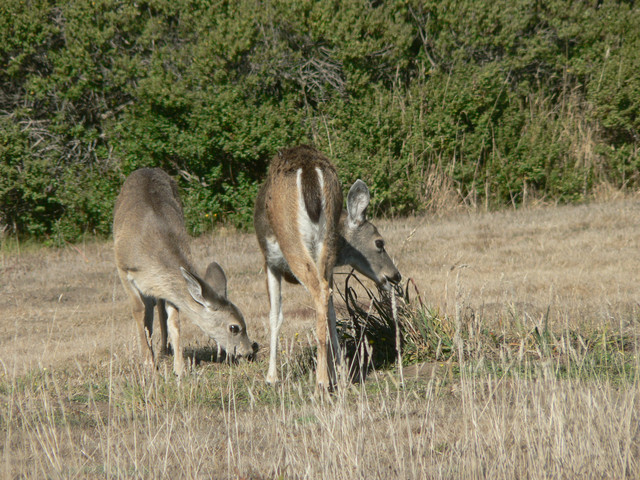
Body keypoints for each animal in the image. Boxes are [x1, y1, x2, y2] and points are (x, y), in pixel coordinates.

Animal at [115, 167, 258, 376]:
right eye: (234, 327)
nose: (248, 352)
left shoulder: (166, 285)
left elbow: (174, 321)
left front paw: (179, 368)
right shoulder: (123, 268)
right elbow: (139, 312)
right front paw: (148, 364)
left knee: (159, 308)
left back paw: (163, 349)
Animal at [254, 144, 400, 388]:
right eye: (380, 243)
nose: (396, 276)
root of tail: (310, 171)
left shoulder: (270, 262)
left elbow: (275, 315)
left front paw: (271, 377)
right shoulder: (329, 268)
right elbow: (332, 312)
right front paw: (341, 372)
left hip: (291, 239)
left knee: (318, 290)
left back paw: (320, 382)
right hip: (326, 245)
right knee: (326, 298)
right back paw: (331, 377)